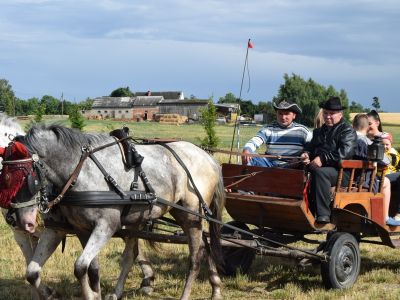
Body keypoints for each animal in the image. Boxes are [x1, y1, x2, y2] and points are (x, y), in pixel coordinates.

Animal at [0, 114, 155, 298]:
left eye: (28, 178)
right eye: (5, 175)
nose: (14, 218)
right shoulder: (23, 234)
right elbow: (31, 268)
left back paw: (146, 280)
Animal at [7, 125, 225, 300]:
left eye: (26, 177)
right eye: (4, 175)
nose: (16, 220)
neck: (80, 171)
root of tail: (209, 158)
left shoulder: (106, 225)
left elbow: (80, 267)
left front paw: (91, 295)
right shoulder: (74, 228)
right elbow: (37, 271)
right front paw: (53, 294)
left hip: (192, 215)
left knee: (195, 258)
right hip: (181, 215)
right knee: (203, 246)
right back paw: (215, 289)